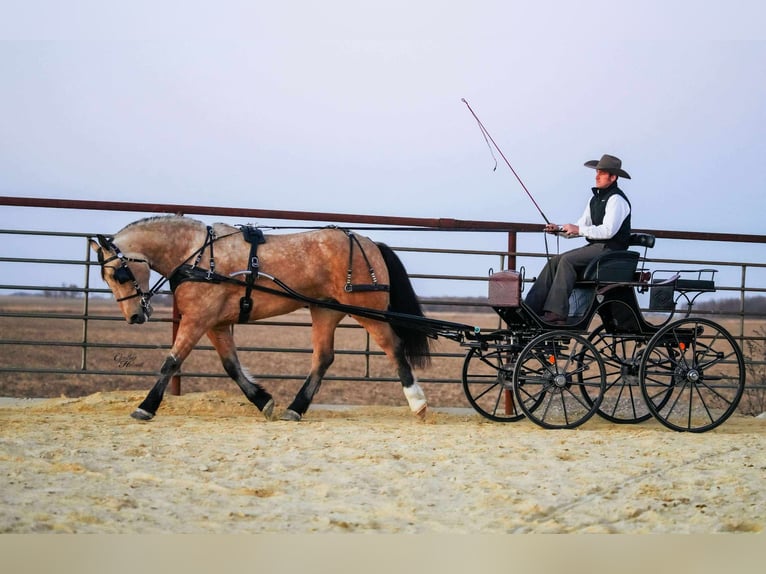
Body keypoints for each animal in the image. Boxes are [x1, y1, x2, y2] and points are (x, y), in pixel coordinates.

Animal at [90, 215, 432, 422]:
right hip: (325, 310)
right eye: (105, 277)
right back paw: (295, 409)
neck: (198, 255)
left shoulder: (197, 319)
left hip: (368, 310)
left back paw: (418, 403)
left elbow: (171, 362)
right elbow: (231, 365)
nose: (135, 316)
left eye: (119, 274)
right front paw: (263, 400)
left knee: (393, 347)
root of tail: (371, 243)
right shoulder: (215, 323)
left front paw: (145, 407)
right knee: (323, 358)